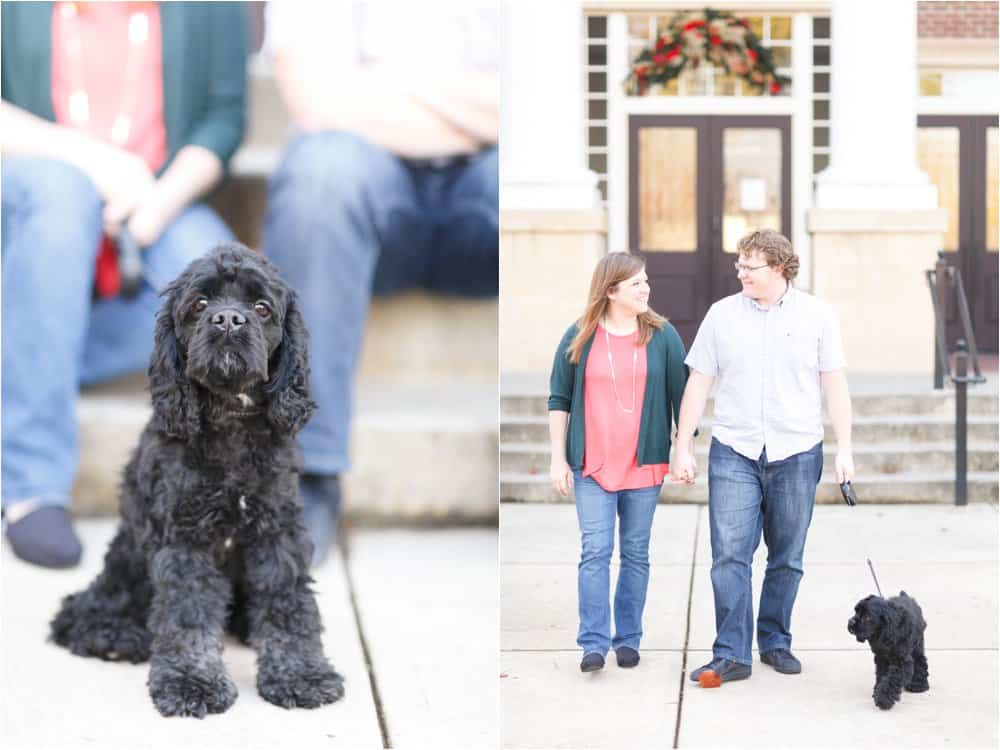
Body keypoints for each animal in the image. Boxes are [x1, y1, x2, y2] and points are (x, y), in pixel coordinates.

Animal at [51, 244, 348, 720]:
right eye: (200, 304)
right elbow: (187, 614)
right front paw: (192, 683)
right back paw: (116, 636)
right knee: (82, 610)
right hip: (127, 557)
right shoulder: (185, 540)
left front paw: (301, 674)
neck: (230, 421)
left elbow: (288, 605)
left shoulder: (276, 533)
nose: (227, 319)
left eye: (262, 308)